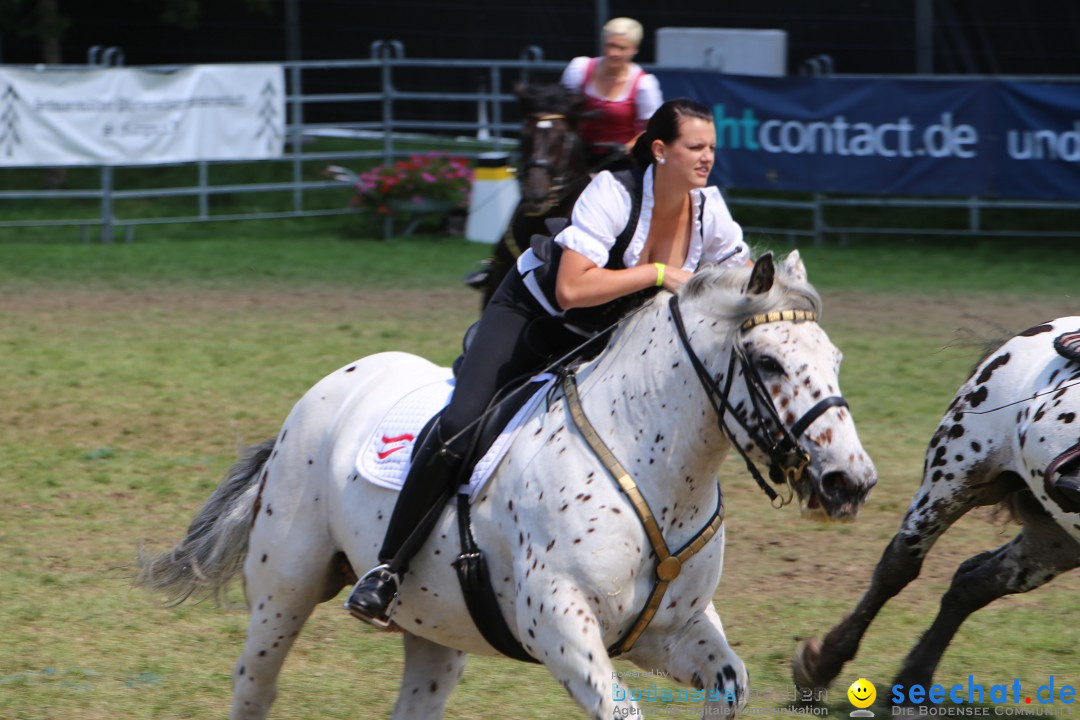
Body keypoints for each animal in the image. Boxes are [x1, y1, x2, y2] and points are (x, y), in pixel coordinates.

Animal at [137, 253, 876, 720]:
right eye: (769, 362)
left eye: (837, 358)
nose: (852, 482)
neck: (651, 465)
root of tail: (324, 392)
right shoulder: (559, 627)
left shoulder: (674, 632)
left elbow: (730, 683)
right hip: (282, 597)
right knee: (254, 689)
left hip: (433, 627)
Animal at [794, 317, 1080, 699]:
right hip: (952, 480)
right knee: (897, 568)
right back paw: (824, 664)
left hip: (1055, 538)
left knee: (975, 584)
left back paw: (911, 680)